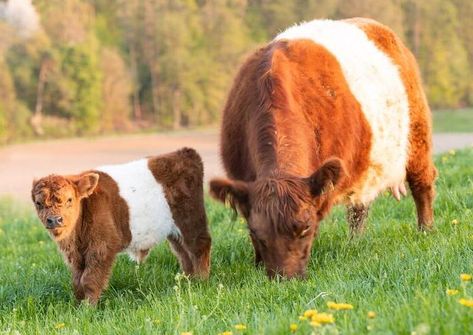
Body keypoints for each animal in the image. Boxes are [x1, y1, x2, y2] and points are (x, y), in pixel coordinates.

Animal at [30, 148, 210, 306]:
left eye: (69, 200)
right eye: (38, 203)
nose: (54, 220)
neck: (75, 238)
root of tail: (184, 152)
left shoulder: (102, 247)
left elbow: (89, 279)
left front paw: (88, 309)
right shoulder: (76, 256)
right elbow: (77, 281)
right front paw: (77, 305)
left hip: (190, 219)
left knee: (199, 246)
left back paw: (201, 282)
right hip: (173, 230)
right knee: (183, 253)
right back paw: (189, 281)